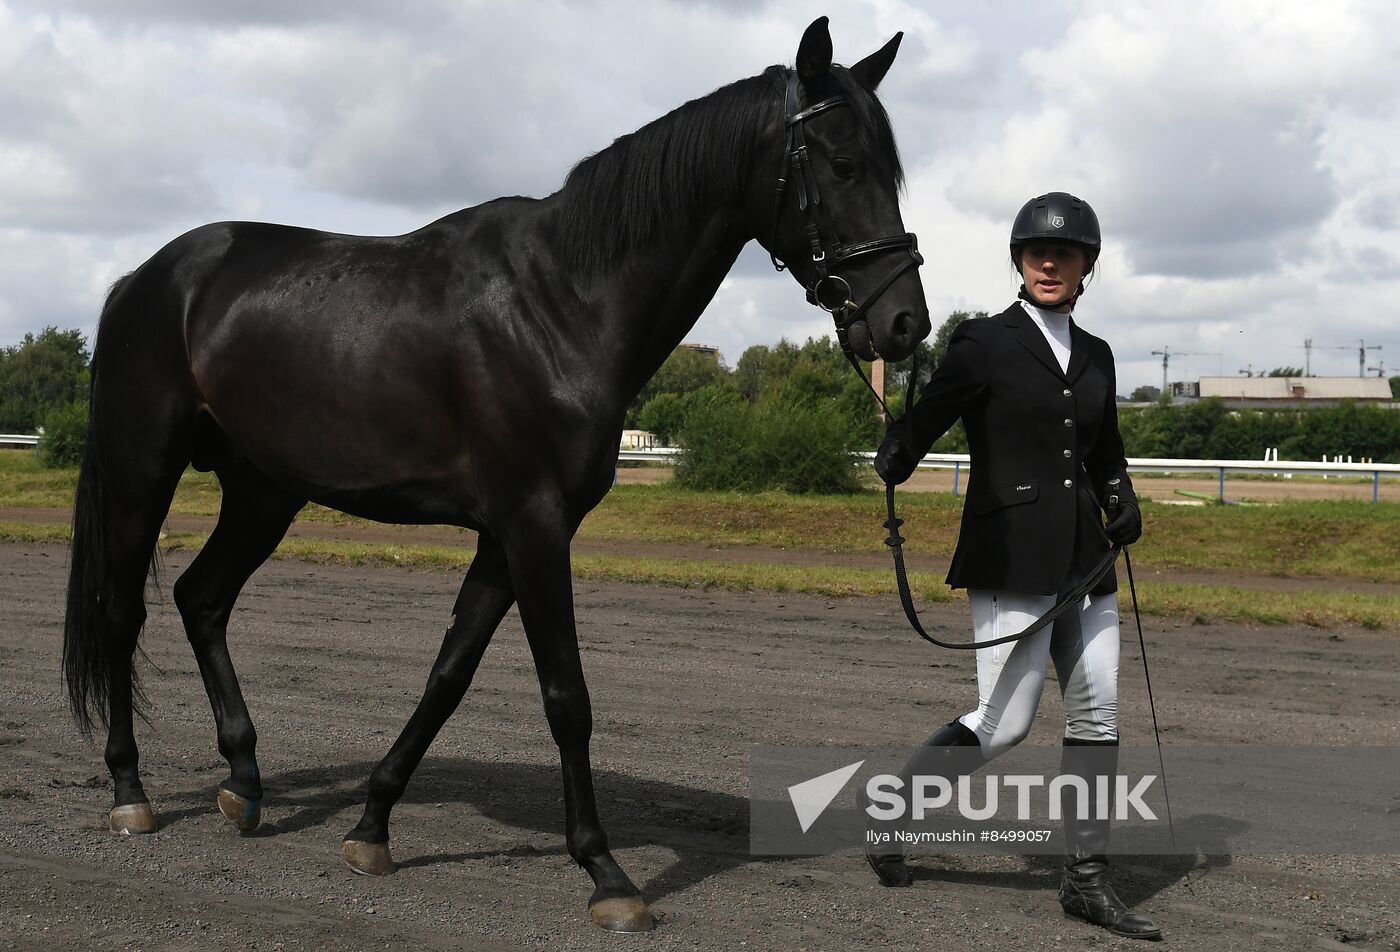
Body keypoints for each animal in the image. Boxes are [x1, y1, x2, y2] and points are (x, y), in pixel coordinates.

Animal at [63, 18, 929, 935]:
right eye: (845, 165)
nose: (906, 323)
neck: (562, 304)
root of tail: (148, 278)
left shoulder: (504, 536)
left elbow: (448, 677)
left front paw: (372, 827)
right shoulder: (533, 527)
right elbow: (566, 696)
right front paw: (606, 871)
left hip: (266, 491)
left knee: (203, 599)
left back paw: (244, 780)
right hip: (142, 471)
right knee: (122, 613)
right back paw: (130, 791)